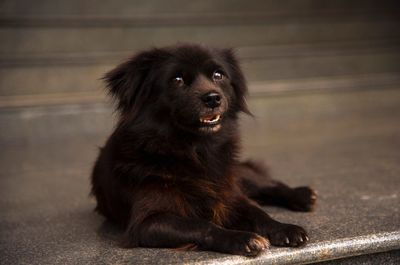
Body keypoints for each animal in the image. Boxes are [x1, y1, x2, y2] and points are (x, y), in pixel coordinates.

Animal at [90, 43, 316, 256]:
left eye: (218, 75)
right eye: (177, 79)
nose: (213, 98)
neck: (194, 149)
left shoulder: (229, 193)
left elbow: (258, 213)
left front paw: (284, 229)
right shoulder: (147, 222)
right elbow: (201, 225)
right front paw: (242, 238)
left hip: (236, 173)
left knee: (267, 183)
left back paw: (302, 195)